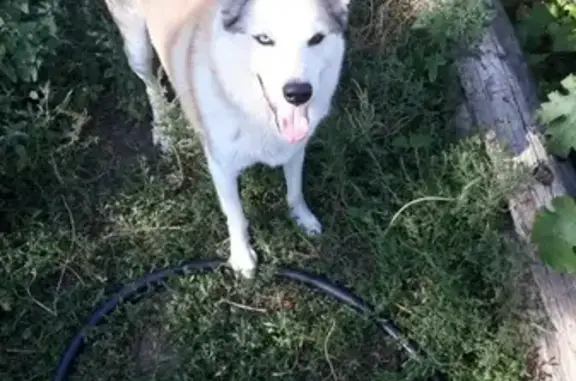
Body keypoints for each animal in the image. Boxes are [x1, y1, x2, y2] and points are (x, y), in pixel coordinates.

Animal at [106, 0, 354, 278]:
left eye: (316, 39)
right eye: (264, 39)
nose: (298, 93)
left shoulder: (295, 150)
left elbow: (295, 191)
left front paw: (303, 219)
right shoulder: (221, 167)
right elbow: (236, 215)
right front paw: (242, 257)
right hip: (137, 47)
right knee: (151, 84)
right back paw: (163, 130)